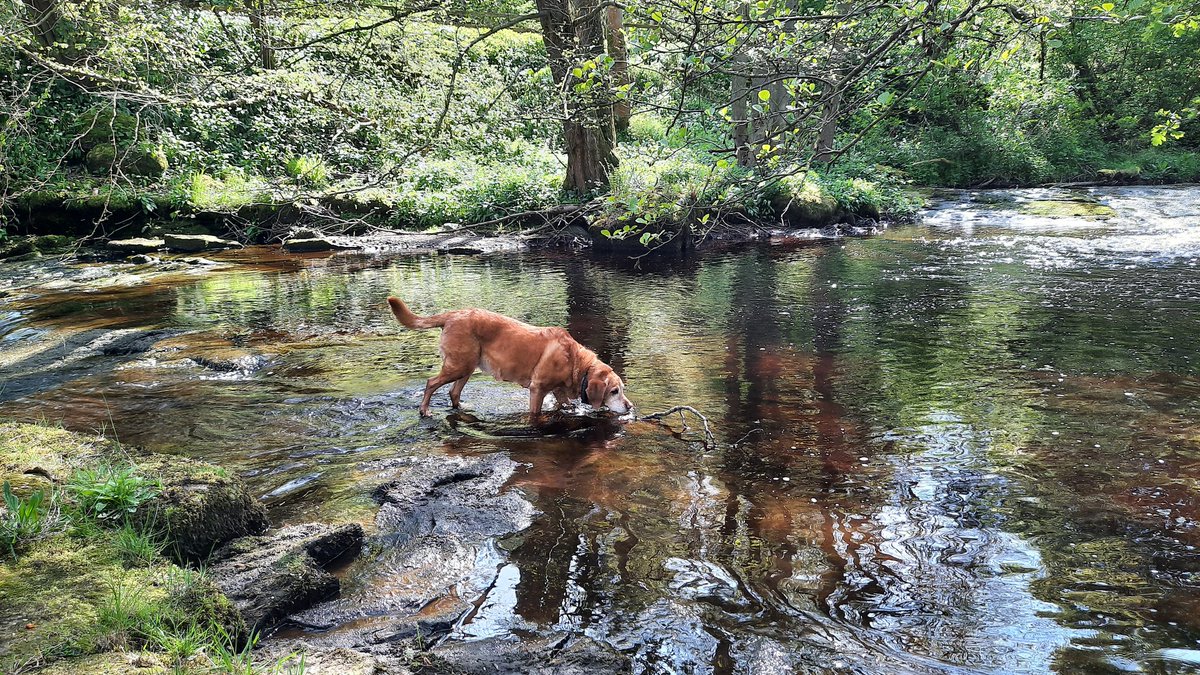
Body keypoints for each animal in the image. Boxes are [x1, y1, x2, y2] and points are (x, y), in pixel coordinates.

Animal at [391, 296, 638, 417]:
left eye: (622, 390)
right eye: (614, 391)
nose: (630, 407)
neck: (575, 362)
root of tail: (452, 314)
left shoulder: (558, 392)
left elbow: (566, 404)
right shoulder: (537, 389)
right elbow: (535, 413)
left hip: (468, 366)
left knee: (453, 392)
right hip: (458, 366)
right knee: (431, 382)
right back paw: (424, 410)